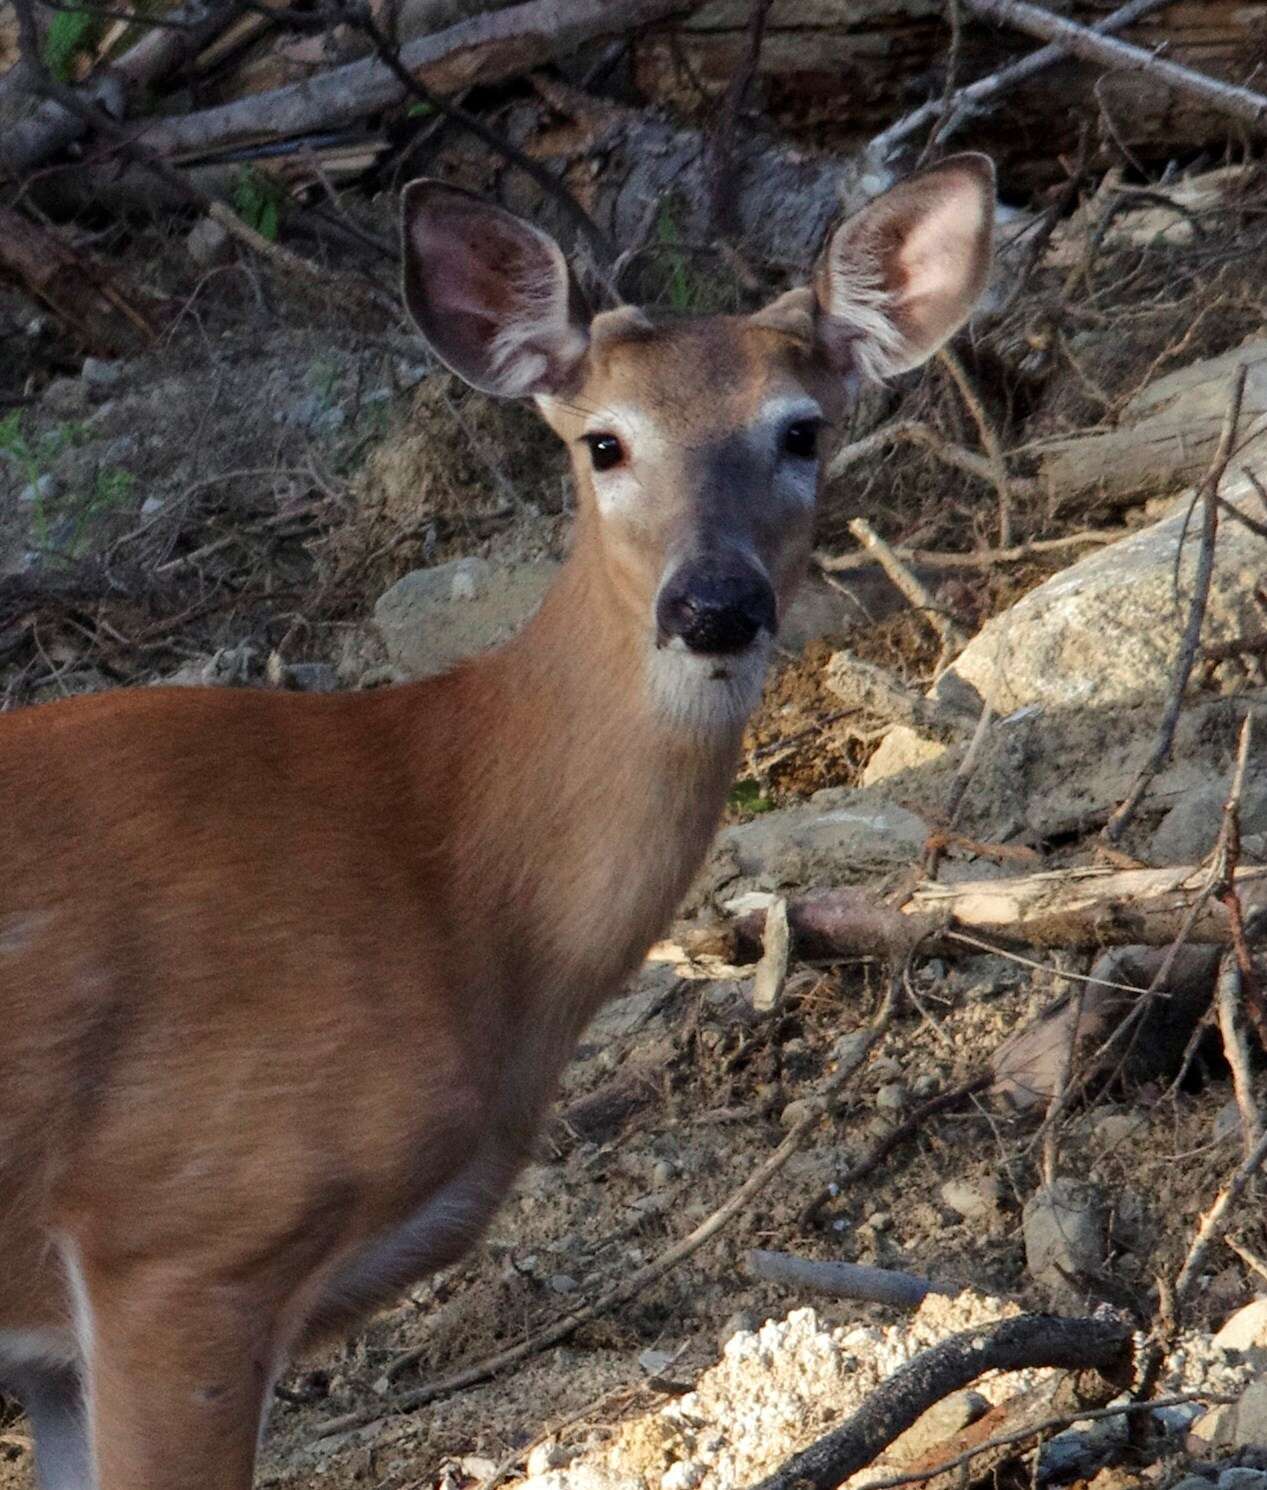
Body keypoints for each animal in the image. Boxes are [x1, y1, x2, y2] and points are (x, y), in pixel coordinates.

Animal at [0, 151, 989, 1490]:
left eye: (801, 428)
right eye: (604, 441)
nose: (712, 602)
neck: (448, 857)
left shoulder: (63, 1338)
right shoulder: (182, 1225)